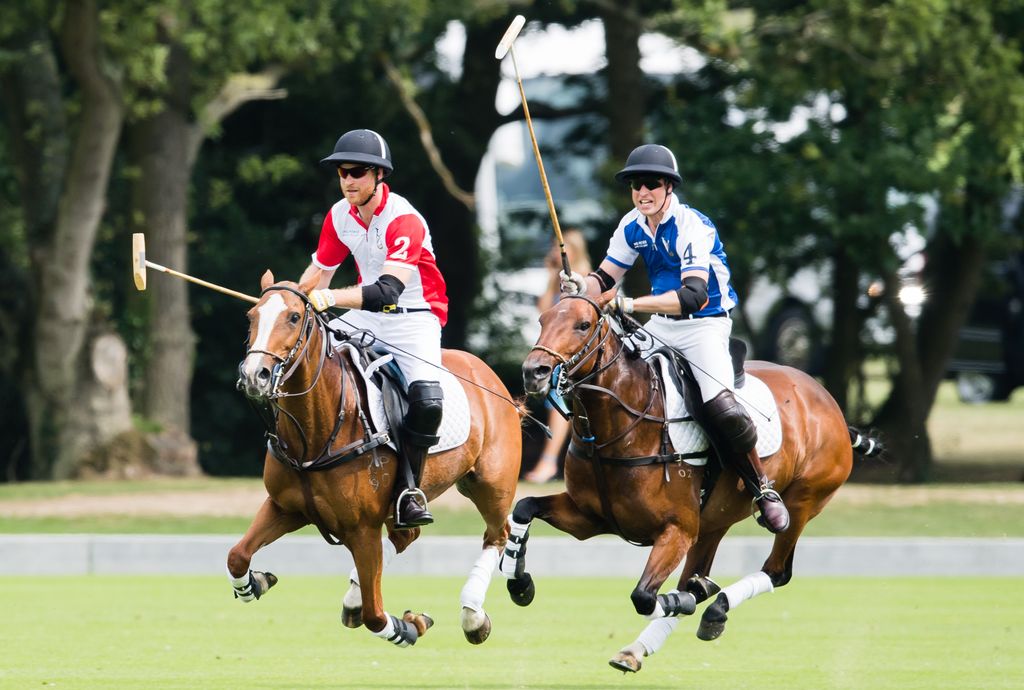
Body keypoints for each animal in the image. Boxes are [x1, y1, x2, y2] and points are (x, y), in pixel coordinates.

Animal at [229, 270, 524, 647]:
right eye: (251, 316)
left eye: (294, 317)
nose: (255, 375)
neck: (317, 432)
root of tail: (488, 375)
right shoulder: (286, 507)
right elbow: (237, 556)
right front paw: (255, 582)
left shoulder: (362, 527)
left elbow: (375, 615)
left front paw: (411, 626)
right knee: (406, 537)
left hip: (491, 483)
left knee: (497, 534)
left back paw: (472, 616)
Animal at [503, 290, 880, 671]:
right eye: (543, 319)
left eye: (583, 324)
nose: (534, 372)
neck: (619, 429)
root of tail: (829, 402)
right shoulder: (589, 517)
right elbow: (524, 507)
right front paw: (519, 582)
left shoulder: (677, 530)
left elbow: (643, 596)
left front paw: (684, 598)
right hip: (714, 520)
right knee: (699, 572)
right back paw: (646, 641)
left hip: (804, 499)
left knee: (776, 570)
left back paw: (715, 602)